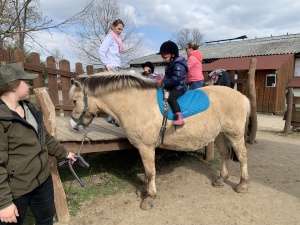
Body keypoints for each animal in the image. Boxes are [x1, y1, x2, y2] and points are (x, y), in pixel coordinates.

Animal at [68, 71, 251, 210]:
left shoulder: (146, 147)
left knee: (242, 156)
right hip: (220, 134)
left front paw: (149, 198)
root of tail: (243, 97)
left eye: (75, 101)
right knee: (225, 153)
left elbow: (150, 172)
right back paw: (221, 179)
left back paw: (242, 185)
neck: (136, 104)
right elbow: (146, 172)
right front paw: (145, 192)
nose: (73, 126)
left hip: (234, 134)